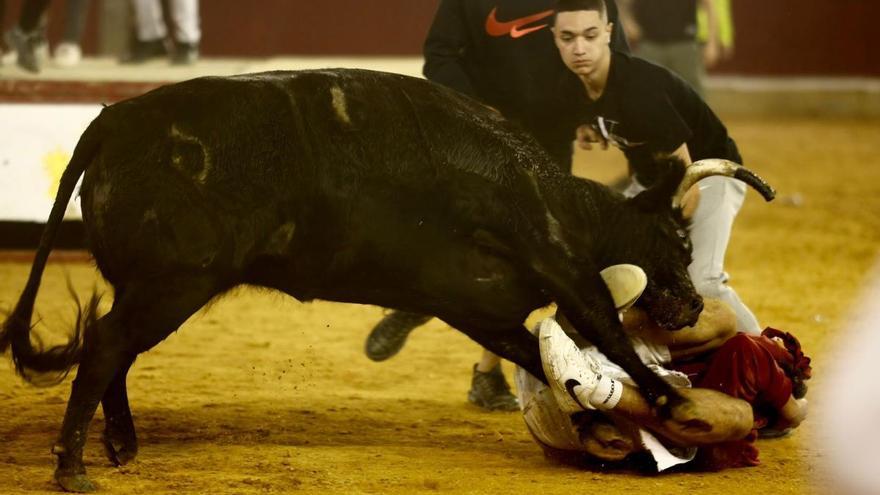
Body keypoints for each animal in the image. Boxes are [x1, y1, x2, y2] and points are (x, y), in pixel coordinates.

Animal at [1, 70, 768, 492]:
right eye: (676, 239)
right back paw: (74, 467)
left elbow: (540, 356)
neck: (549, 192)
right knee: (107, 347)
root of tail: (115, 118)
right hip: (174, 282)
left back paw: (121, 447)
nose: (691, 304)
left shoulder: (477, 305)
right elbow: (607, 333)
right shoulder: (560, 263)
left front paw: (599, 426)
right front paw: (672, 402)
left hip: (151, 286)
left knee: (117, 351)